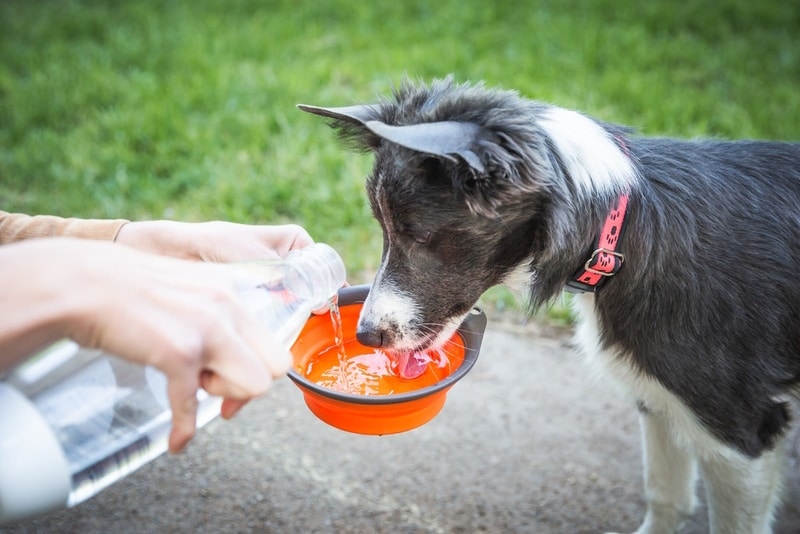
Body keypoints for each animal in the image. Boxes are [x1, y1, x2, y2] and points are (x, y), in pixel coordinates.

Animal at [298, 76, 800, 534]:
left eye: (418, 235)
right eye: (383, 229)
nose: (365, 335)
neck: (620, 234)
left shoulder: (739, 436)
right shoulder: (659, 398)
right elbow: (666, 498)